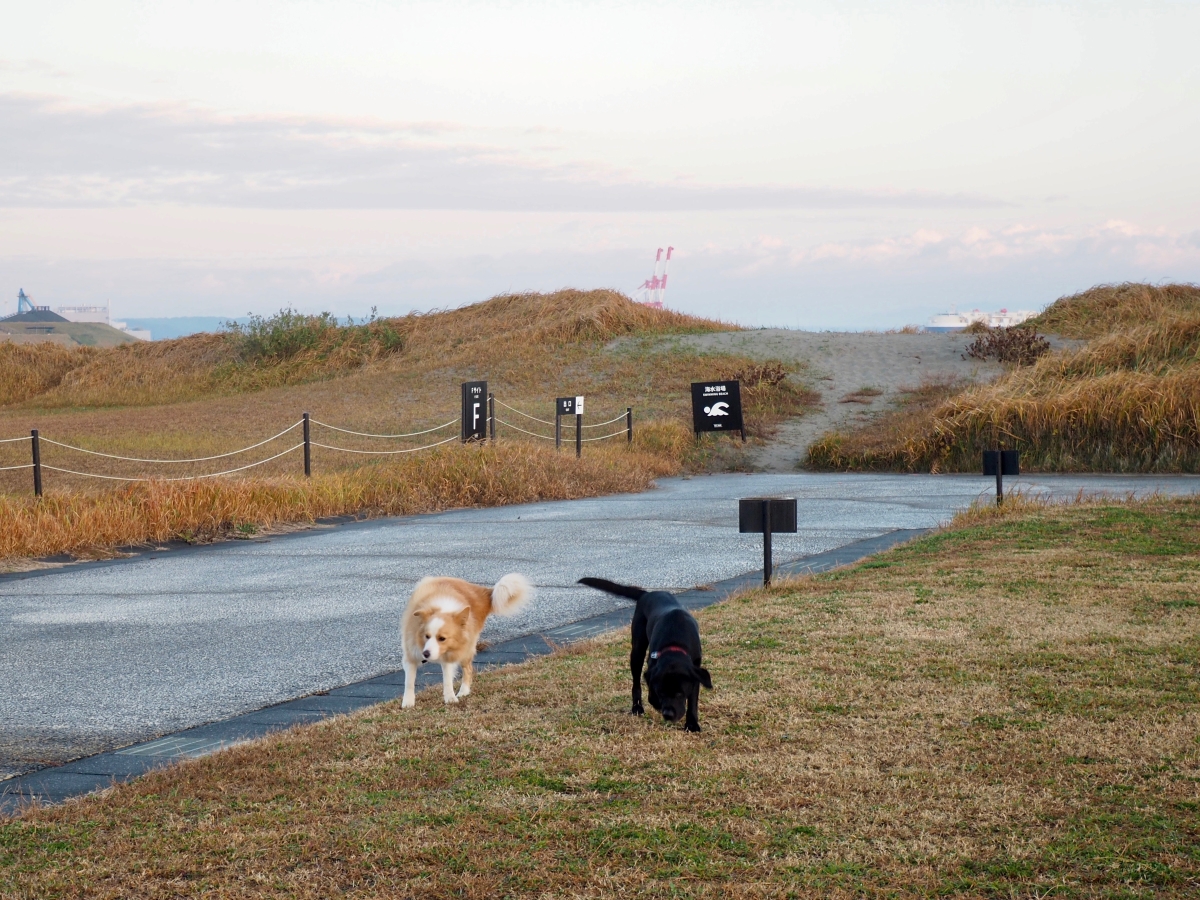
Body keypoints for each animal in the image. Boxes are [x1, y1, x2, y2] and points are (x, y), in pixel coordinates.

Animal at [398, 573, 530, 710]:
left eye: (442, 638)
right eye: (427, 636)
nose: (426, 654)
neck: (443, 609)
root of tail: (481, 592)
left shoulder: (451, 654)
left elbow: (447, 679)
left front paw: (450, 698)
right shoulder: (411, 654)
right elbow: (409, 681)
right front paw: (408, 702)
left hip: (467, 649)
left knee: (468, 669)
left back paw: (463, 691)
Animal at [576, 578, 705, 734]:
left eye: (680, 693)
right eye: (662, 693)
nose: (668, 714)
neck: (675, 641)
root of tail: (647, 594)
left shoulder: (696, 667)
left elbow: (693, 699)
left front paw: (692, 724)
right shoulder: (653, 667)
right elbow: (652, 694)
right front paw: (657, 703)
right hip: (637, 651)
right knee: (636, 682)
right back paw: (637, 707)